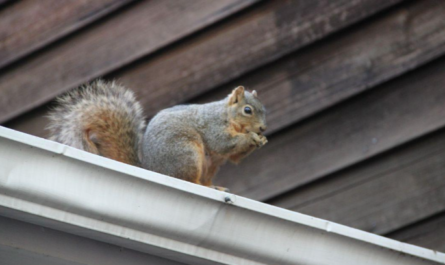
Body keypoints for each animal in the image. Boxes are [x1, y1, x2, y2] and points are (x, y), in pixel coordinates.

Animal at [47, 79, 268, 191]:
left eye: (264, 109)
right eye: (247, 110)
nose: (263, 129)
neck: (227, 115)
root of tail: (152, 169)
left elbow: (234, 156)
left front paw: (261, 140)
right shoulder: (212, 125)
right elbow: (223, 144)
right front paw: (251, 138)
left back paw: (215, 187)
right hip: (186, 154)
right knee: (188, 179)